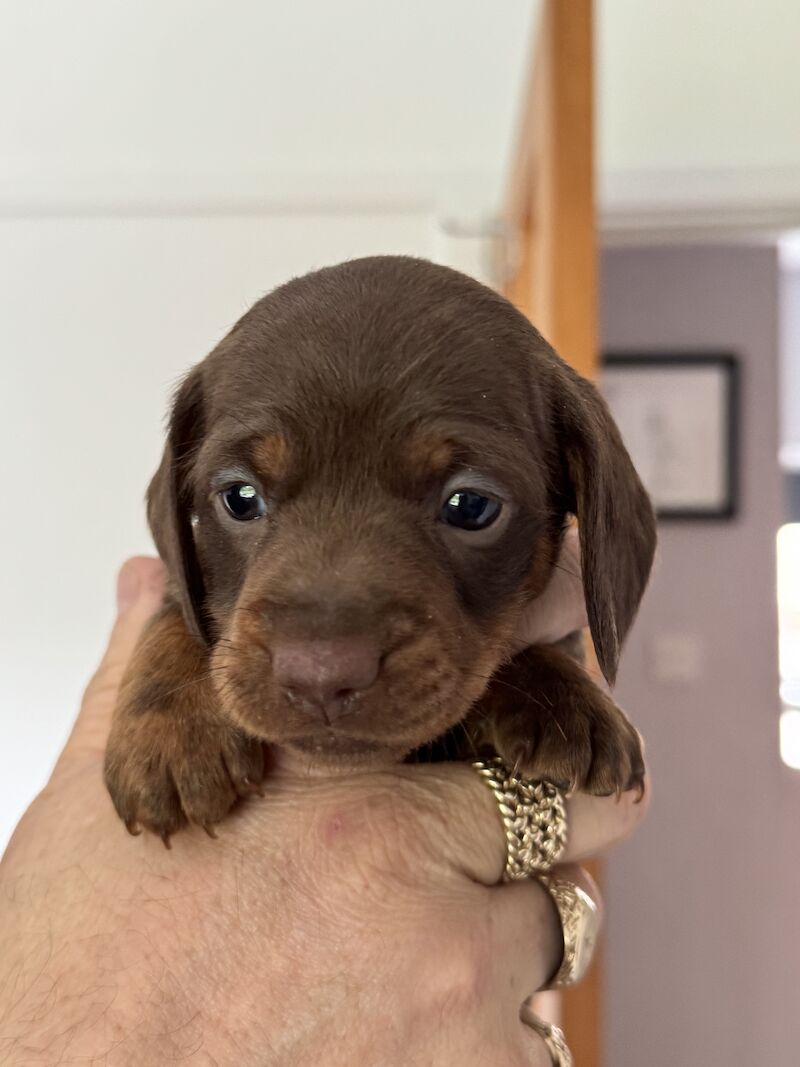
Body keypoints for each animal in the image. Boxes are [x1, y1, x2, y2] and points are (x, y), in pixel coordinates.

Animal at [105, 256, 657, 840]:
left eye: (471, 505)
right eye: (239, 497)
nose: (320, 678)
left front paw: (565, 695)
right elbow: (176, 614)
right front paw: (171, 726)